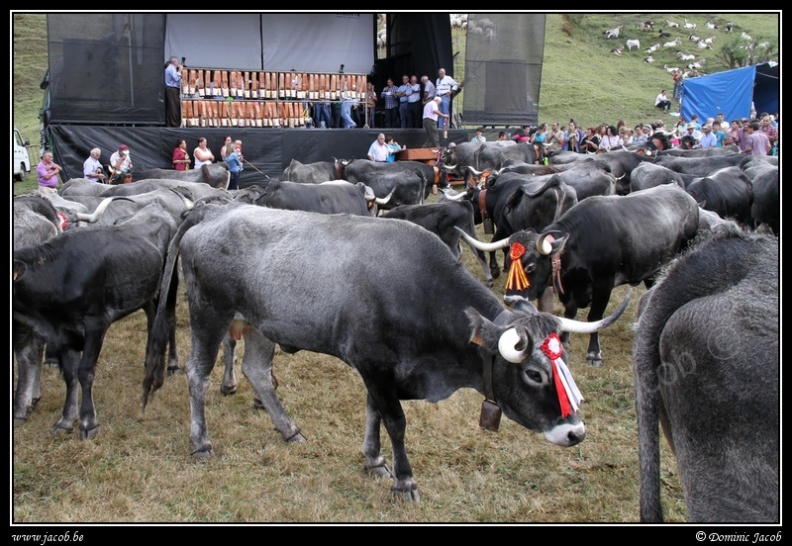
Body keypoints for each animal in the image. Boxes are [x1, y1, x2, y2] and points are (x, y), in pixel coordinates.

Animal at [14, 202, 183, 436]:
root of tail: (156, 207)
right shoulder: (63, 331)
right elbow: (70, 374)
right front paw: (66, 419)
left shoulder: (96, 322)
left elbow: (85, 371)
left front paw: (88, 422)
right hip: (145, 292)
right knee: (152, 319)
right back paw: (149, 358)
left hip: (170, 283)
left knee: (169, 320)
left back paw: (173, 364)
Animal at [464, 183, 700, 366]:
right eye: (510, 262)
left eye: (530, 267)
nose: (509, 299)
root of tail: (686, 196)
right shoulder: (571, 288)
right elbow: (570, 312)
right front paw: (563, 338)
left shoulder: (604, 284)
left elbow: (594, 317)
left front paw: (594, 352)